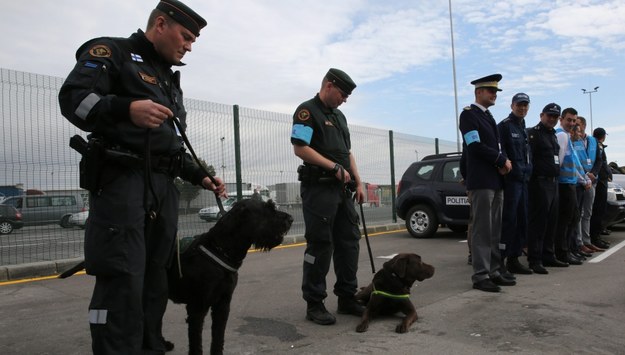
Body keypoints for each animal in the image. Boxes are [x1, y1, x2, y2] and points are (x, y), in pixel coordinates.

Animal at [166, 200, 292, 355]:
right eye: (268, 208)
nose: (291, 219)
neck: (220, 249)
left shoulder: (223, 303)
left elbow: (218, 336)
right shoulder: (197, 307)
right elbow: (196, 342)